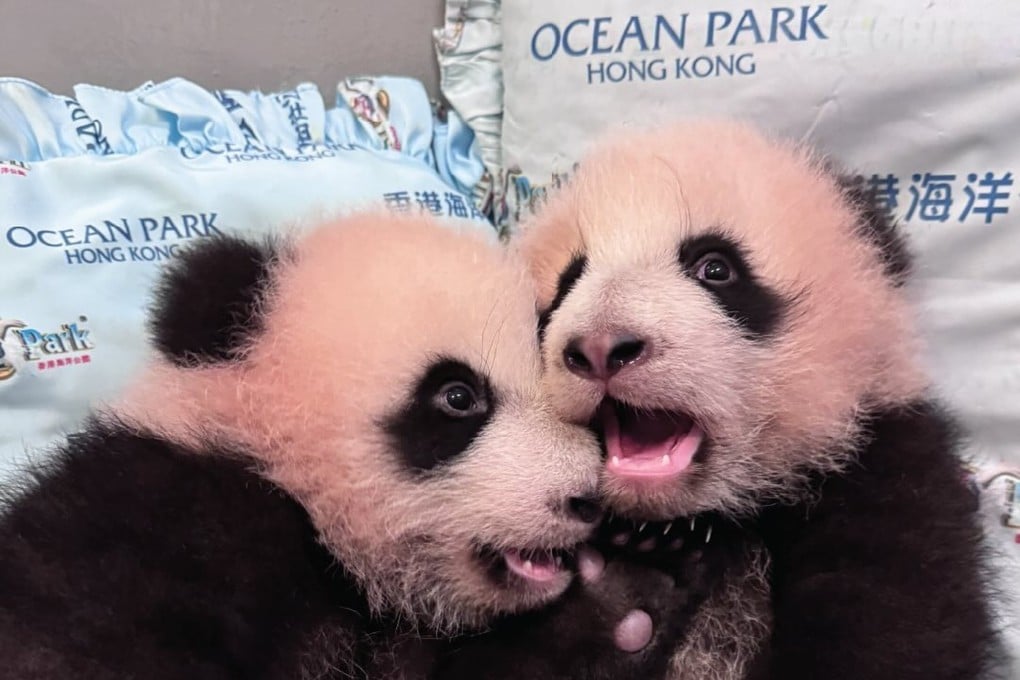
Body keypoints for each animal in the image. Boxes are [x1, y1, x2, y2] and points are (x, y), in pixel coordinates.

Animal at [512, 121, 1002, 680]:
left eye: (715, 268)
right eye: (568, 282)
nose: (600, 347)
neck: (698, 517)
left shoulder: (887, 467)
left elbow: (894, 630)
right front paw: (615, 594)